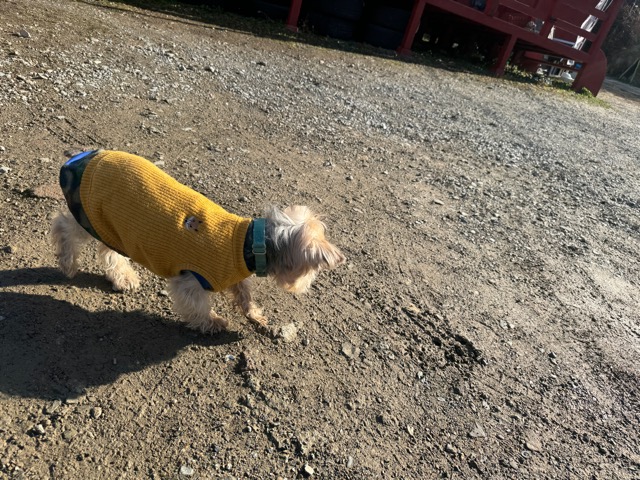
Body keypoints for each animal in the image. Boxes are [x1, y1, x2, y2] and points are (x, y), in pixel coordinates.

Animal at [51, 149, 345, 334]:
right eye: (314, 271)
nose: (306, 288)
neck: (250, 244)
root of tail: (85, 157)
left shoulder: (234, 273)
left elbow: (244, 295)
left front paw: (254, 314)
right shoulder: (190, 279)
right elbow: (197, 305)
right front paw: (213, 323)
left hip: (115, 226)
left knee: (109, 250)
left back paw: (122, 276)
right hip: (91, 215)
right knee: (64, 225)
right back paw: (67, 263)